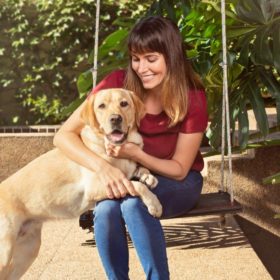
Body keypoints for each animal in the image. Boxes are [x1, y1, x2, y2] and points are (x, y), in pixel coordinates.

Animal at [0, 88, 162, 280]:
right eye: (101, 106)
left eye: (124, 103)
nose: (115, 119)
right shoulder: (101, 185)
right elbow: (136, 186)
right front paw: (154, 204)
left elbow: (141, 171)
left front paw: (148, 176)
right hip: (6, 250)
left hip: (28, 249)